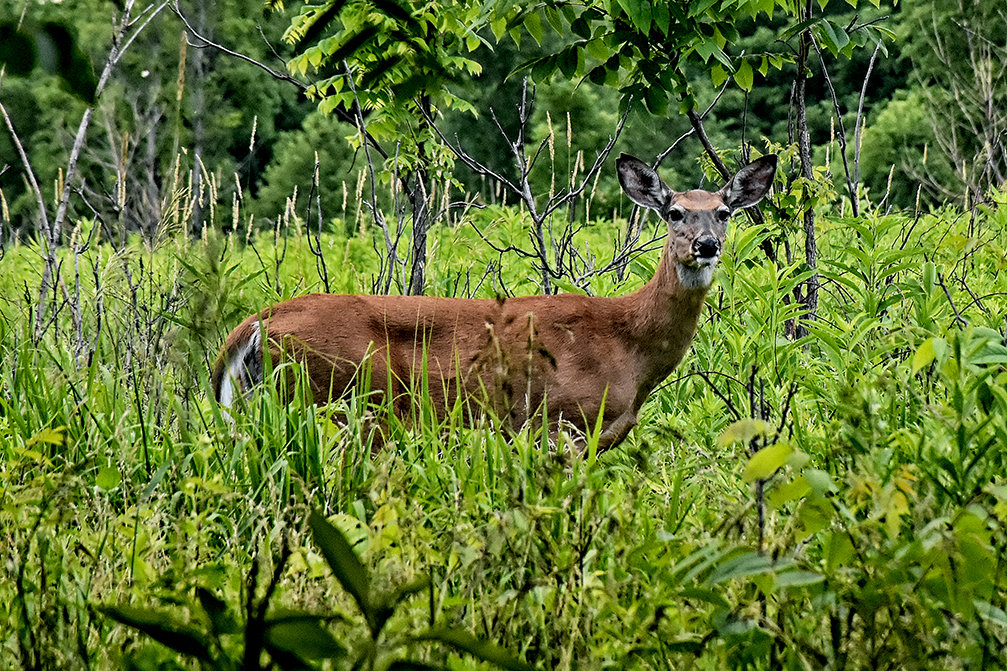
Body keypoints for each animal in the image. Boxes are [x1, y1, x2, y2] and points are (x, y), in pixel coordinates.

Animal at [214, 153, 777, 449]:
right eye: (675, 212)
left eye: (724, 211)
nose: (706, 245)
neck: (628, 344)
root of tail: (255, 325)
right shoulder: (561, 421)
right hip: (332, 401)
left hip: (252, 407)